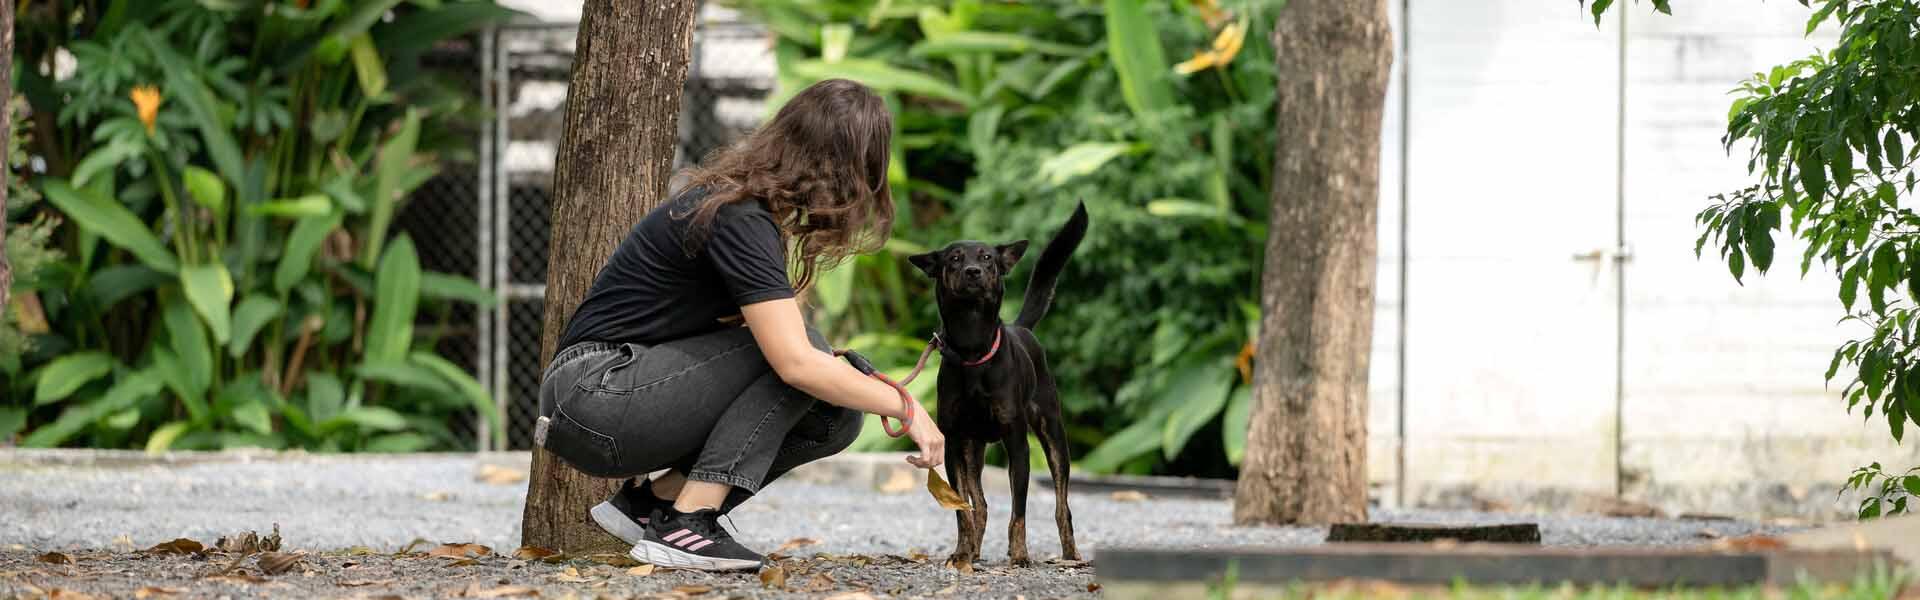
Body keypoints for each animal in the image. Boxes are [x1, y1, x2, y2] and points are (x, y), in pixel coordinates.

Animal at [907, 201, 1089, 569]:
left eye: (988, 258)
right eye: (954, 258)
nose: (973, 271)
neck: (973, 346)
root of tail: (1023, 328)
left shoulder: (1017, 444)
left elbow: (1018, 512)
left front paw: (1019, 555)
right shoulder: (954, 444)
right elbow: (963, 510)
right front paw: (961, 552)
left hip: (1053, 436)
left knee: (1062, 504)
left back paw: (1070, 554)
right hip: (974, 449)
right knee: (980, 506)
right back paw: (973, 551)